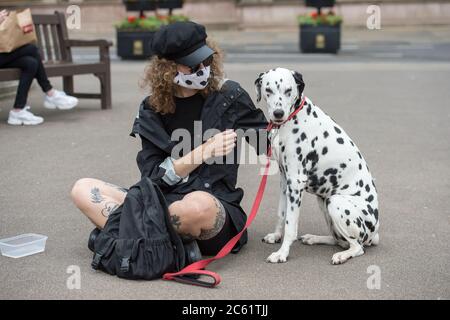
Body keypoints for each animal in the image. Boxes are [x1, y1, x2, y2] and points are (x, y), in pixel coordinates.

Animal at [255, 67, 378, 264]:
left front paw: (282, 253)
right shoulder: (285, 181)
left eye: (288, 90)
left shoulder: (296, 184)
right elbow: (281, 214)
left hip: (336, 203)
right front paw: (276, 236)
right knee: (338, 240)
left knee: (357, 247)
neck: (292, 118)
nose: (278, 113)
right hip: (324, 201)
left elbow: (290, 225)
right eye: (268, 90)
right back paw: (314, 238)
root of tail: (375, 232)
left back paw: (342, 255)